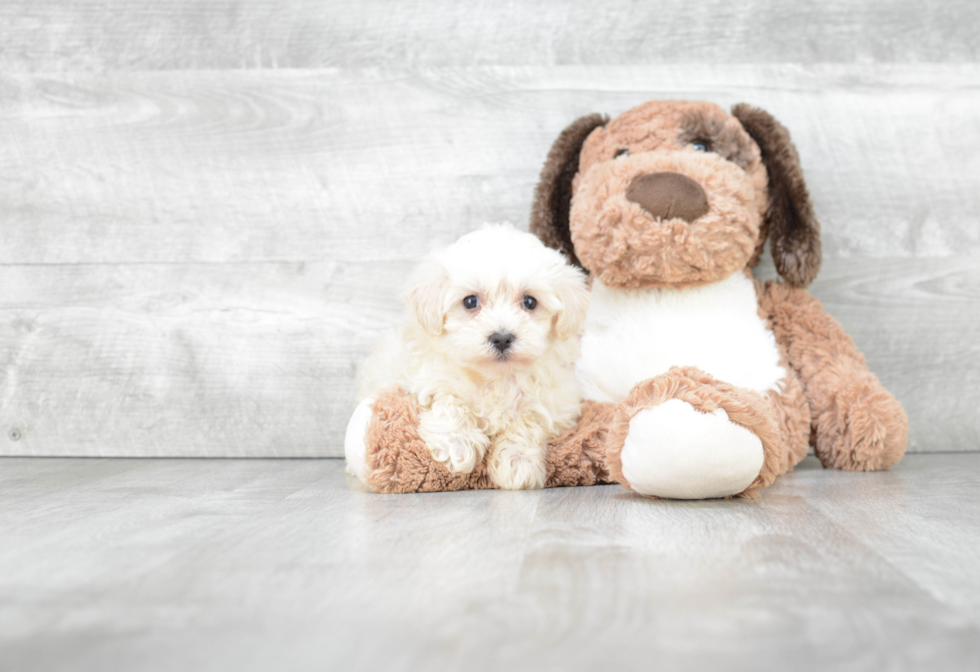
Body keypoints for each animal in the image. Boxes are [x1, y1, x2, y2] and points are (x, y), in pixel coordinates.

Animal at [360, 223, 588, 490]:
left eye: (530, 302)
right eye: (470, 301)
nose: (502, 338)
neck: (493, 377)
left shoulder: (555, 402)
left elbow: (528, 418)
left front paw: (517, 462)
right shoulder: (425, 380)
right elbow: (448, 398)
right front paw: (457, 443)